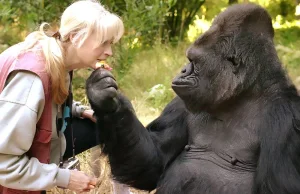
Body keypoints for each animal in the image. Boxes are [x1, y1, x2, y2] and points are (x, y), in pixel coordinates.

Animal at [85, 3, 300, 194]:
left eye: (194, 61)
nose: (182, 70)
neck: (241, 95)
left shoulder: (287, 119)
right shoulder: (181, 103)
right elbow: (153, 162)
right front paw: (105, 100)